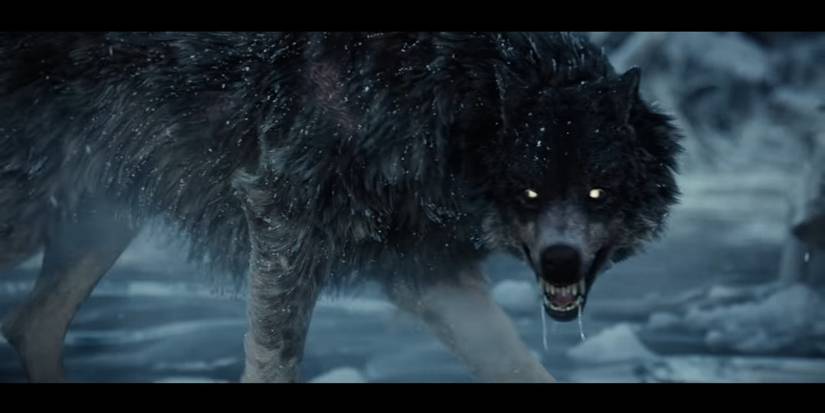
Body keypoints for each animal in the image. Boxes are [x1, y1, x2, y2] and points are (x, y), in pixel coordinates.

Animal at [0, 32, 680, 382]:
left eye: (597, 191)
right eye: (528, 192)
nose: (561, 263)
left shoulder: (426, 270)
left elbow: (519, 366)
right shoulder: (281, 219)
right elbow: (274, 361)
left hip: (101, 219)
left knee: (33, 322)